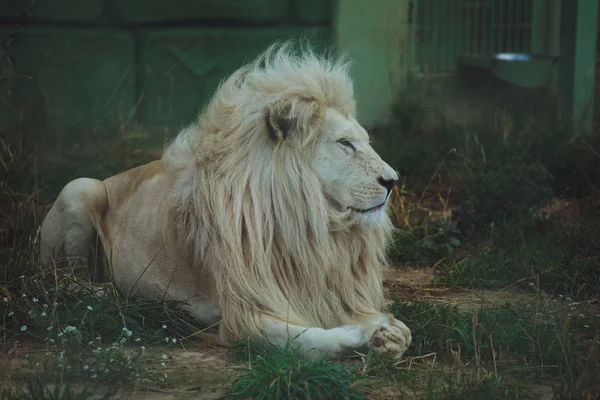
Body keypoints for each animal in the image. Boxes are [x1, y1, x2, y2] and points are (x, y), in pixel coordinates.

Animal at [38, 41, 412, 360]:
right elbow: (305, 339)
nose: (393, 181)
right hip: (78, 188)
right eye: (345, 144)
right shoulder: (241, 315)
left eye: (364, 141)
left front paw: (387, 330)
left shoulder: (324, 291)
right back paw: (113, 294)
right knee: (59, 281)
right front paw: (366, 336)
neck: (315, 227)